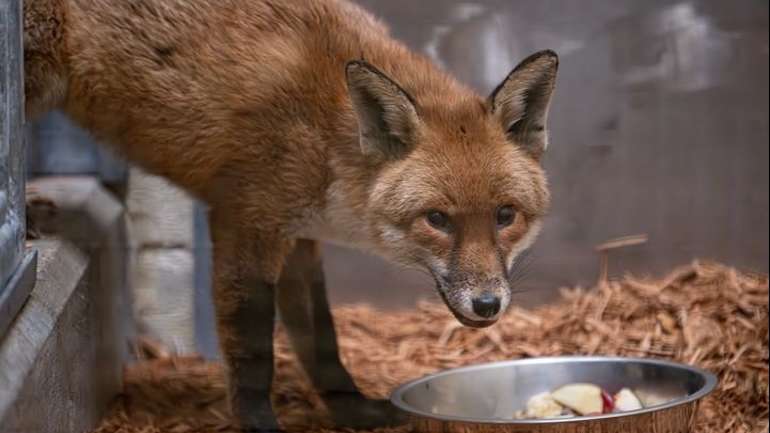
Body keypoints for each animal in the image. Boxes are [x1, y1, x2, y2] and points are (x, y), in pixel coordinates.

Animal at [23, 0, 558, 431]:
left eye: (505, 215)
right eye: (438, 219)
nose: (488, 305)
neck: (327, 136)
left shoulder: (300, 239)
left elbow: (322, 341)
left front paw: (353, 411)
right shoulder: (246, 222)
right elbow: (254, 350)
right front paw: (259, 423)